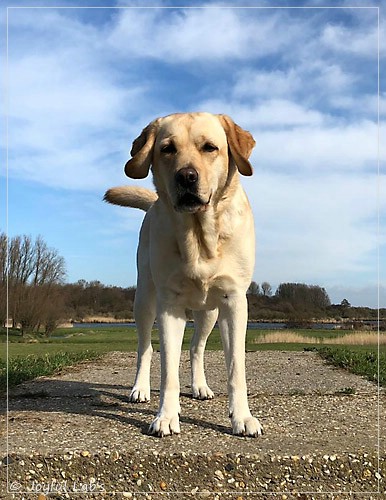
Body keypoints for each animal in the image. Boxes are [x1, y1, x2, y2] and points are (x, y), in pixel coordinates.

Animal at [104, 113, 264, 438]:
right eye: (167, 149)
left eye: (210, 147)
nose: (187, 177)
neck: (199, 235)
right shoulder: (170, 305)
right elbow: (168, 370)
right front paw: (166, 416)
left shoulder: (234, 302)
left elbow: (236, 368)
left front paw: (242, 417)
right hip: (144, 300)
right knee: (145, 348)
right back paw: (140, 388)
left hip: (209, 313)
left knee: (195, 347)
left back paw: (200, 386)